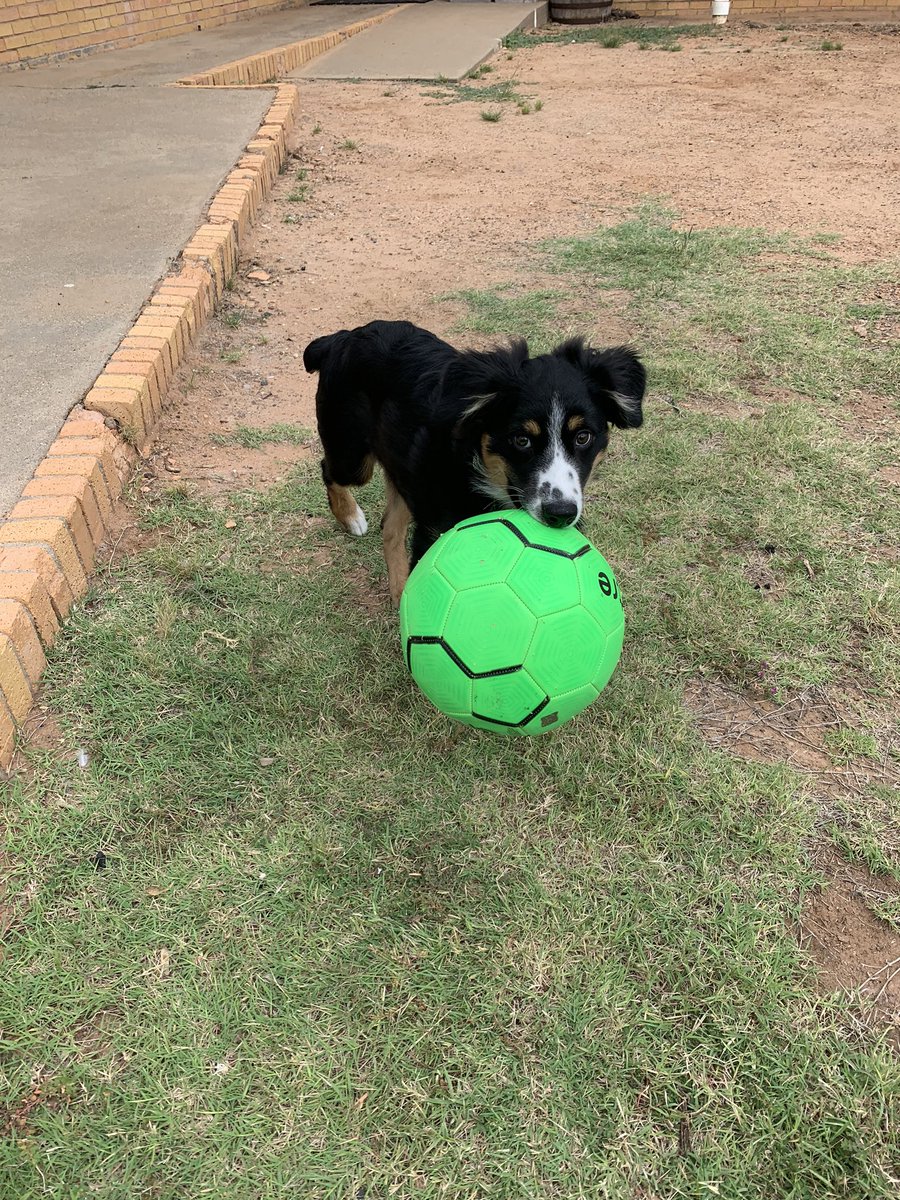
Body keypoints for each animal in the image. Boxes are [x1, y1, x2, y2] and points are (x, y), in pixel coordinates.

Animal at [304, 319, 648, 604]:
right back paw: (350, 516)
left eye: (583, 437)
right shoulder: (432, 534)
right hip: (352, 454)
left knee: (389, 526)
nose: (560, 514)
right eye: (521, 440)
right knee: (329, 470)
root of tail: (342, 338)